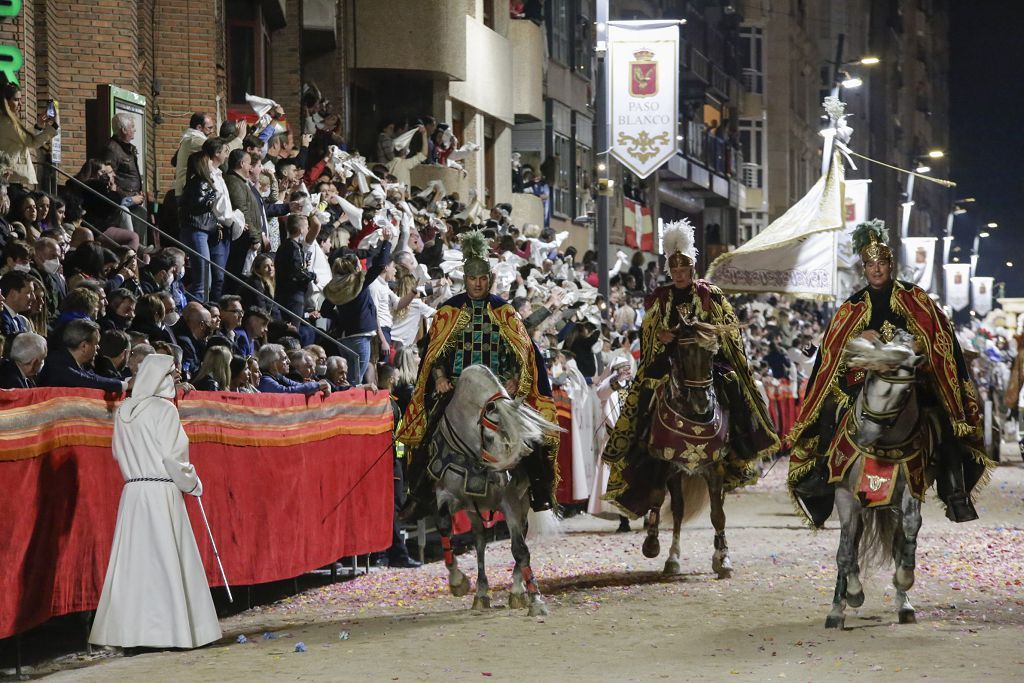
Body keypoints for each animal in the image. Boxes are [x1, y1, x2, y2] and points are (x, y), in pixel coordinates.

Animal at [428, 366, 565, 618]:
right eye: (490, 437)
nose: (504, 477)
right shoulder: (447, 493)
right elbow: (443, 525)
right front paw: (457, 581)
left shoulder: (510, 503)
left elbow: (520, 550)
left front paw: (535, 599)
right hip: (473, 510)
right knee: (480, 541)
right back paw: (481, 594)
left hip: (521, 504)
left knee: (518, 537)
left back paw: (517, 590)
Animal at [823, 331, 937, 630]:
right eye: (870, 379)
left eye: (905, 393)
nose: (866, 436)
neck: (883, 446)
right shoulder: (845, 495)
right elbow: (846, 549)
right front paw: (852, 594)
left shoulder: (913, 486)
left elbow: (910, 528)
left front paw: (905, 578)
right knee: (850, 543)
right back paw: (838, 608)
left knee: (897, 540)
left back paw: (904, 605)